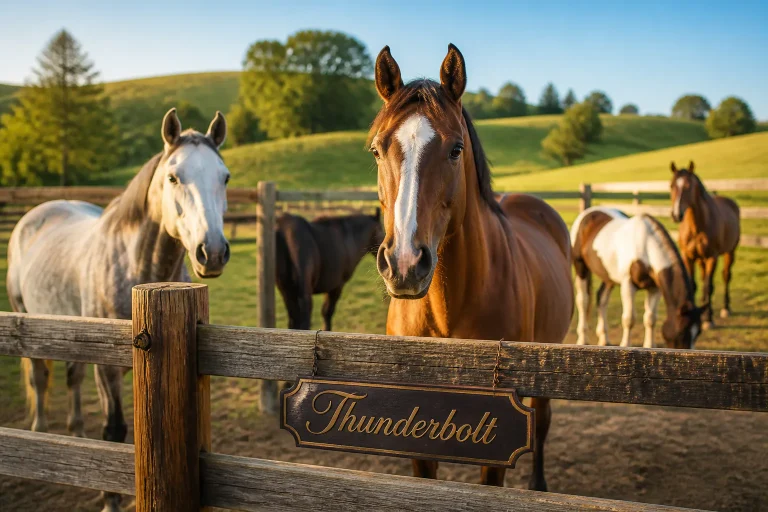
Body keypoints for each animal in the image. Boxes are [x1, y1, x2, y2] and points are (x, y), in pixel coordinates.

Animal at [6, 108, 230, 512]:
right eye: (173, 177)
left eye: (225, 177)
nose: (214, 251)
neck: (136, 269)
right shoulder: (107, 369)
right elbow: (114, 431)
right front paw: (110, 500)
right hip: (26, 323)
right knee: (39, 378)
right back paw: (39, 436)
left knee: (72, 378)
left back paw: (75, 436)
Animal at [571, 207, 703, 349]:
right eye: (682, 332)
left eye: (698, 333)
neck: (645, 248)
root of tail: (587, 213)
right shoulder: (628, 285)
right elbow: (629, 319)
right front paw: (625, 345)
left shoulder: (654, 288)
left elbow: (650, 319)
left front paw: (649, 346)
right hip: (580, 267)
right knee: (583, 301)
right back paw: (582, 339)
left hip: (608, 277)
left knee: (602, 299)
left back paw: (604, 339)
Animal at [670, 161, 740, 329]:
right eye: (671, 186)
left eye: (688, 186)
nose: (676, 214)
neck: (697, 226)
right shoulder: (688, 257)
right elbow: (693, 284)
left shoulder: (711, 258)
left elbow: (709, 286)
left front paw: (708, 319)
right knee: (703, 278)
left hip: (730, 252)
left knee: (726, 276)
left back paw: (725, 308)